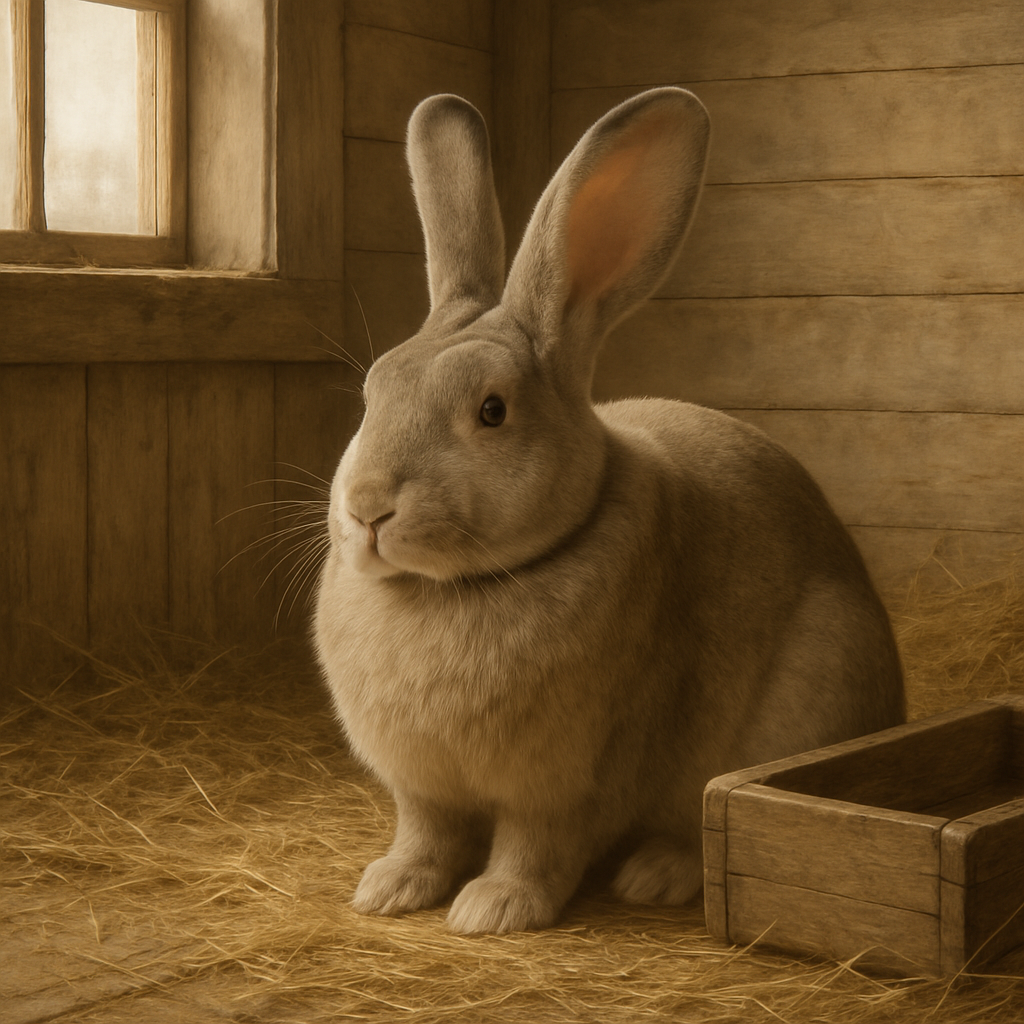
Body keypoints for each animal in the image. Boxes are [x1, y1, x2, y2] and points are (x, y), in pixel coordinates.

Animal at [314, 87, 905, 935]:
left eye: (492, 411)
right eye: (371, 394)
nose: (367, 510)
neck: (449, 589)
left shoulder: (575, 779)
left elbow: (538, 845)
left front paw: (492, 909)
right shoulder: (422, 787)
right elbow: (426, 833)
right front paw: (389, 889)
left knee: (701, 824)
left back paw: (655, 875)